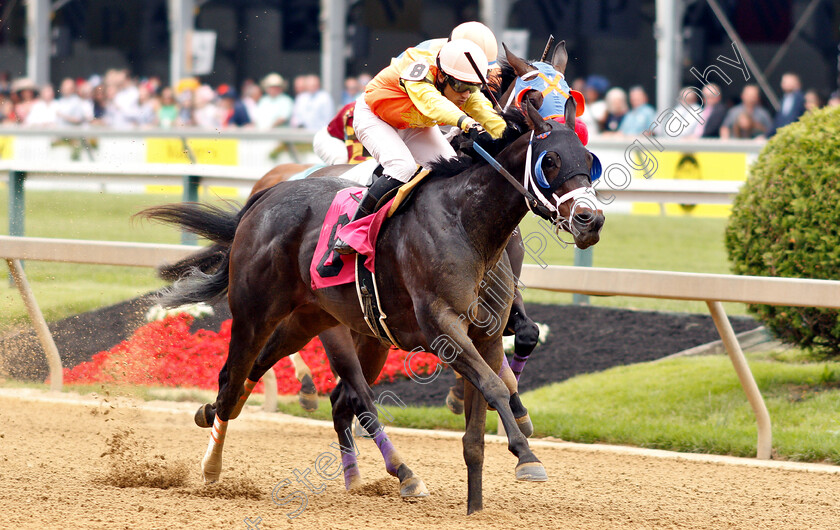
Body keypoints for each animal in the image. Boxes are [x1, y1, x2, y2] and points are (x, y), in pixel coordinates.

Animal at [143, 95, 604, 512]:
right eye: (550, 160)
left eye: (589, 158)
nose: (591, 220)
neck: (465, 222)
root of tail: (263, 198)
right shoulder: (442, 328)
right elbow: (493, 386)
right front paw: (528, 456)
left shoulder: (485, 335)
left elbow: (485, 412)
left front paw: (479, 502)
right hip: (259, 314)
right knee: (248, 379)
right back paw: (213, 467)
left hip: (310, 321)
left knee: (271, 380)